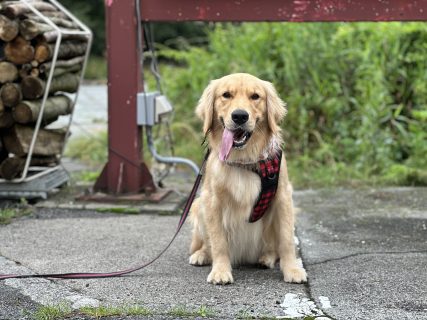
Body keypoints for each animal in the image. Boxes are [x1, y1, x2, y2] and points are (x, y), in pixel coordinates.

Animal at [188, 73, 308, 284]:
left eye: (255, 96)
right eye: (226, 95)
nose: (239, 116)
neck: (244, 160)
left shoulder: (283, 197)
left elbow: (286, 240)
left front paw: (292, 270)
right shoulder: (212, 200)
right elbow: (218, 241)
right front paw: (220, 271)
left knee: (274, 247)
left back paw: (266, 258)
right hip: (197, 204)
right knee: (207, 244)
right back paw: (202, 254)